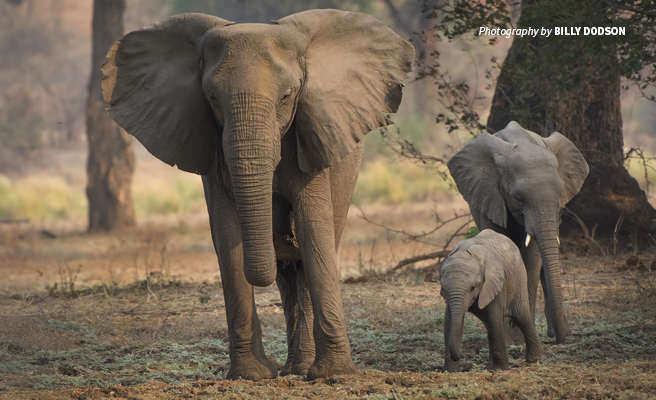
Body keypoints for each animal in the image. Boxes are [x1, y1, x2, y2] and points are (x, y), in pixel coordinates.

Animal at [100, 8, 412, 378]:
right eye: (211, 98)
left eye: (287, 96)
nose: (271, 369)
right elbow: (227, 236)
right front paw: (251, 375)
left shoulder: (311, 139)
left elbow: (313, 233)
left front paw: (334, 375)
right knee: (287, 276)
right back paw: (289, 368)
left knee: (307, 261)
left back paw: (299, 369)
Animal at [440, 230, 544, 374]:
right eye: (443, 289)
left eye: (473, 287)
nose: (461, 355)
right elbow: (449, 321)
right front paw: (450, 372)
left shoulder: (496, 282)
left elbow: (494, 318)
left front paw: (500, 369)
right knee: (490, 325)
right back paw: (489, 367)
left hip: (518, 276)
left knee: (520, 316)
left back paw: (534, 359)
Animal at [446, 121, 588, 344]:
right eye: (520, 199)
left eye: (559, 196)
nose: (561, 341)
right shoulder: (491, 195)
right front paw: (511, 338)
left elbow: (531, 260)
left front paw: (519, 336)